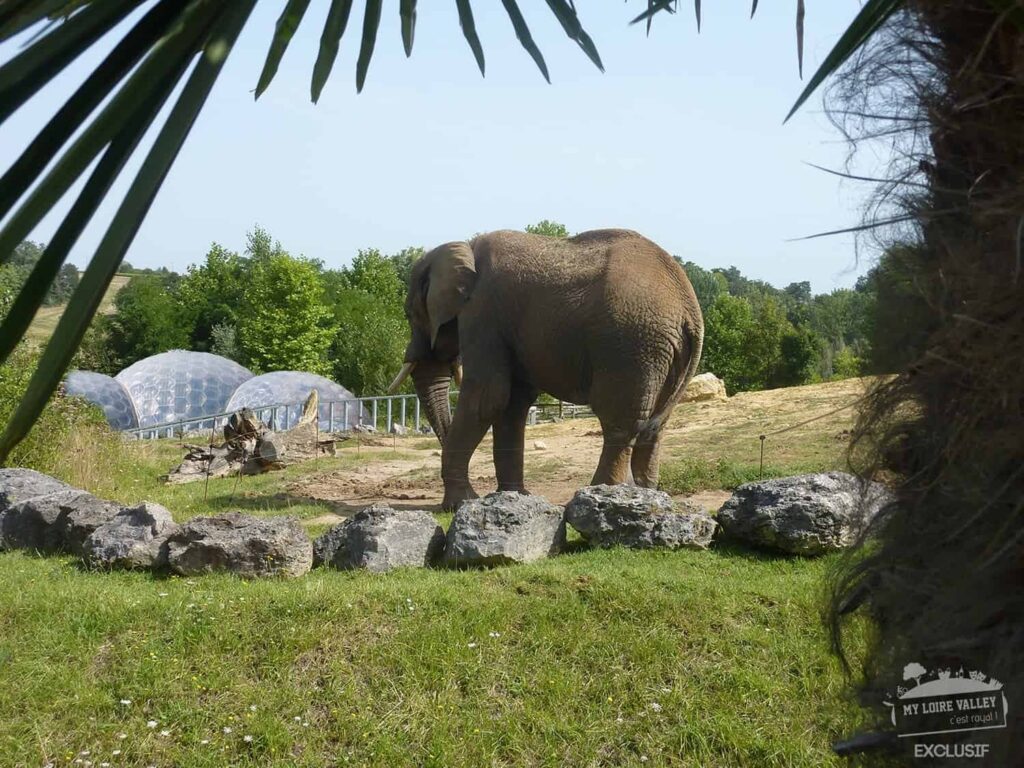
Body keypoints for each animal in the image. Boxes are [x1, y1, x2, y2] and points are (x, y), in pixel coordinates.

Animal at [389, 231, 704, 514]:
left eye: (409, 314)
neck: (464, 246)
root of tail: (689, 308)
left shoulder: (483, 314)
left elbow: (487, 398)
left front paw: (460, 504)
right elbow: (512, 404)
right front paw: (513, 498)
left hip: (631, 344)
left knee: (619, 422)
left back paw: (600, 495)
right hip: (666, 354)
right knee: (655, 425)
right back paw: (643, 495)